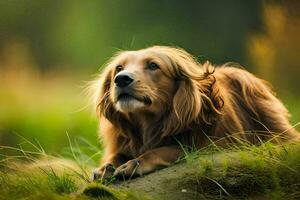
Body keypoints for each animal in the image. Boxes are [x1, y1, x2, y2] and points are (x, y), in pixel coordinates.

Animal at [91, 46, 298, 180]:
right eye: (119, 68)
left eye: (153, 65)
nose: (121, 79)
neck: (148, 124)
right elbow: (116, 155)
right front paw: (106, 167)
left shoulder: (209, 146)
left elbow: (166, 149)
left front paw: (134, 164)